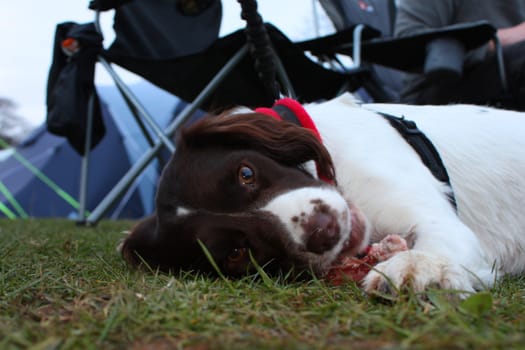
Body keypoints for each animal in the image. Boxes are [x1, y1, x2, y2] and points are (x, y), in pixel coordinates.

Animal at [119, 94, 524, 294]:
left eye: (246, 172)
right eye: (237, 253)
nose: (323, 229)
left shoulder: (436, 216)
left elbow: (435, 243)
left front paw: (417, 268)